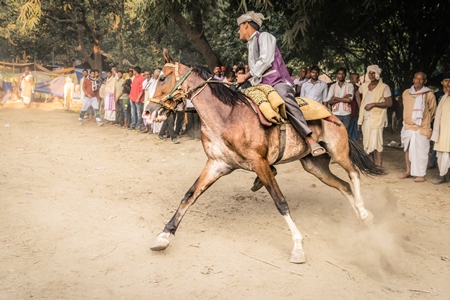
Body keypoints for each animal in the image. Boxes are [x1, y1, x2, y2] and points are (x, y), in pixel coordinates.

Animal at [149, 50, 382, 264]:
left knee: (353, 174)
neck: (226, 116)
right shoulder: (217, 164)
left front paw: (298, 247)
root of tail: (331, 113)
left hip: (338, 151)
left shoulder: (260, 163)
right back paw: (362, 217)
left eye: (162, 78)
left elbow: (281, 203)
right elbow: (189, 196)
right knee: (344, 186)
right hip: (315, 166)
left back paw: (364, 213)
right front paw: (164, 236)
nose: (149, 110)